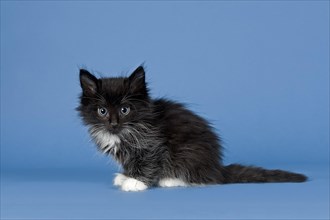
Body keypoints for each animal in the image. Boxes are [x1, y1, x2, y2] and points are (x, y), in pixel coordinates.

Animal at [77, 65, 306, 191]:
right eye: (102, 111)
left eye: (125, 110)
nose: (113, 122)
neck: (124, 131)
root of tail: (217, 168)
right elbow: (131, 162)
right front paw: (126, 175)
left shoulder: (153, 144)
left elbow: (149, 162)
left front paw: (136, 182)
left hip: (189, 152)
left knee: (205, 180)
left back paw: (171, 180)